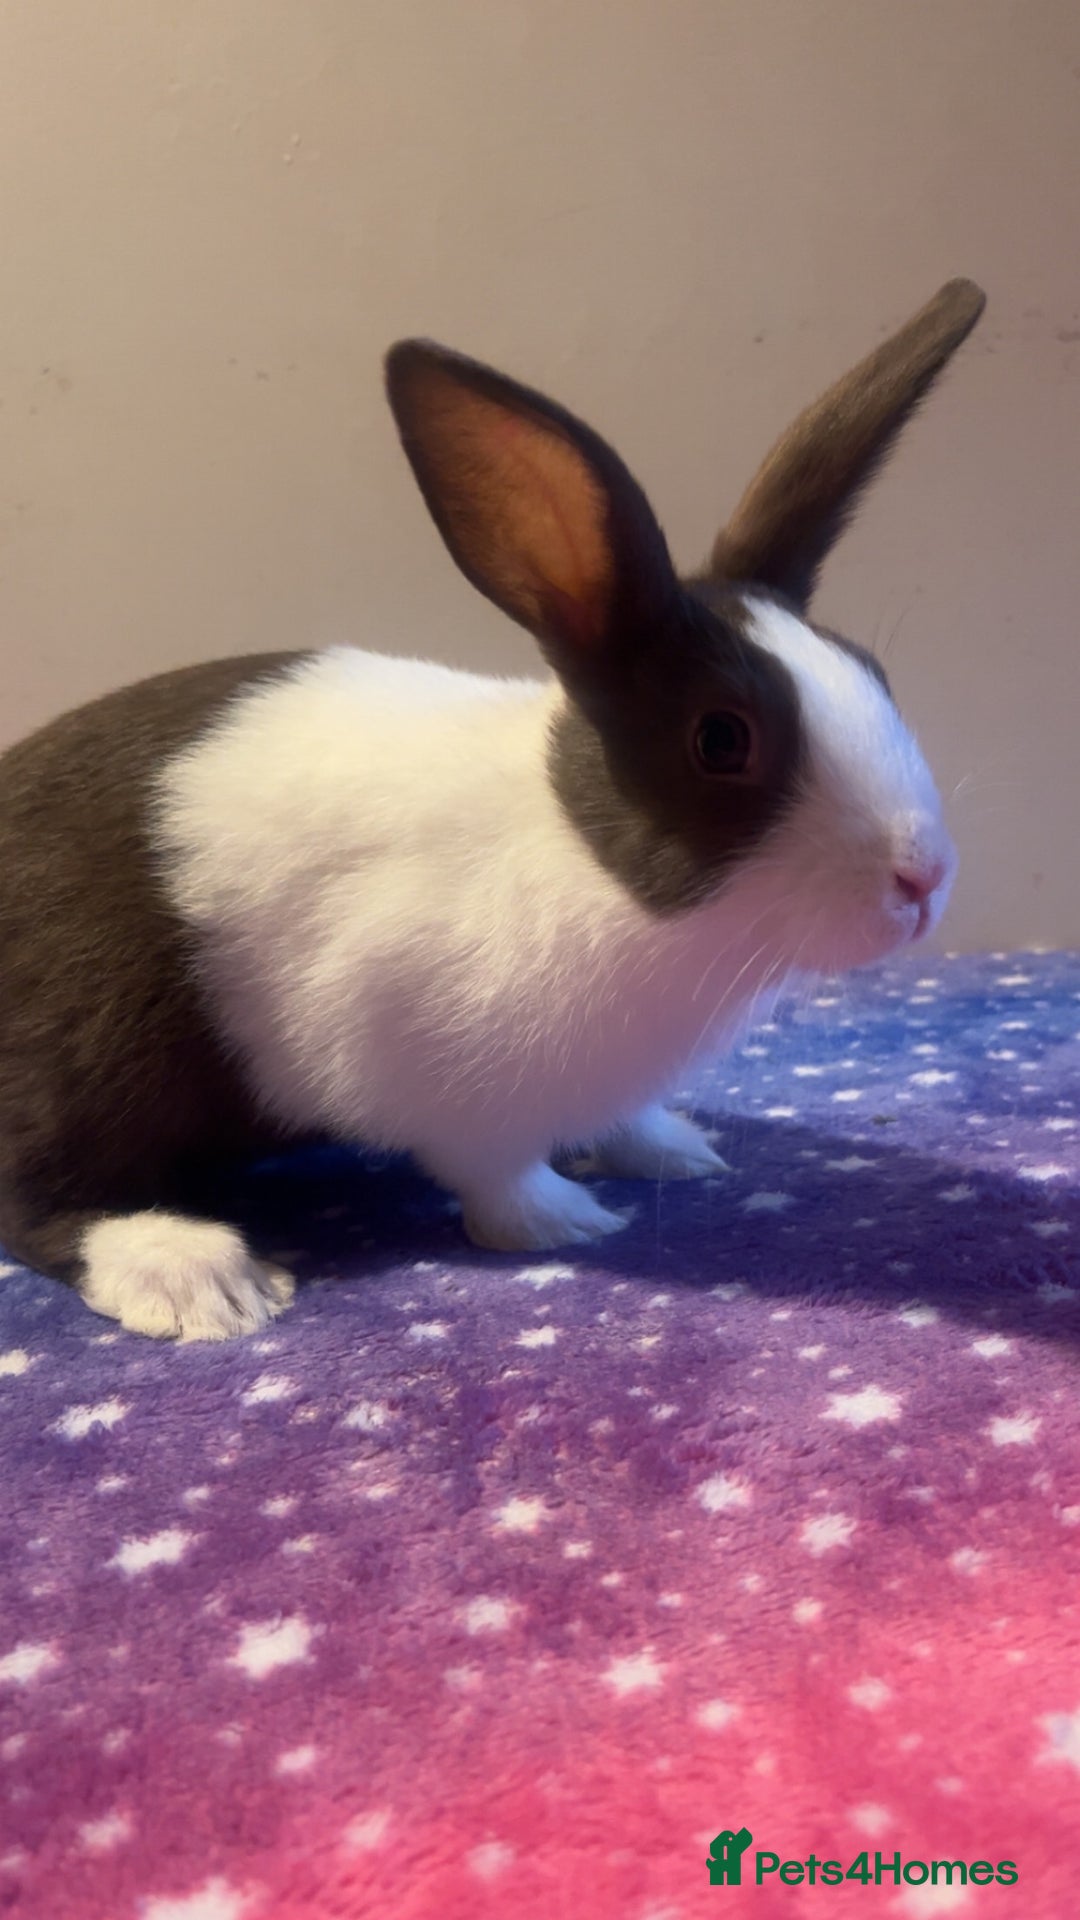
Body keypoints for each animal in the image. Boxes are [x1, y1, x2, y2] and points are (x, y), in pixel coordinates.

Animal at [0, 278, 985, 1340]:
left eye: (872, 672)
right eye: (723, 740)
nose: (924, 879)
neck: (587, 862)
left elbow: (621, 1117)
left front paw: (673, 1149)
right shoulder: (424, 1060)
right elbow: (495, 1172)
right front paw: (569, 1221)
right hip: (90, 1053)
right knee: (39, 1196)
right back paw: (207, 1280)